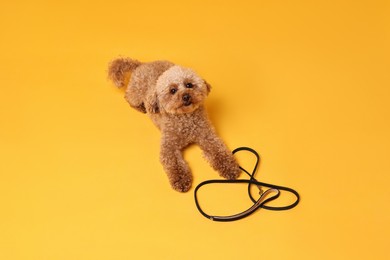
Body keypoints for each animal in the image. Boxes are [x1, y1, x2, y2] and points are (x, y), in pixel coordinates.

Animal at [107, 58, 241, 191]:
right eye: (172, 90)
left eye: (189, 84)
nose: (186, 96)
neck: (185, 119)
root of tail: (141, 64)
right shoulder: (168, 146)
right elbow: (174, 163)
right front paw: (181, 180)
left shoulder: (207, 136)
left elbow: (218, 150)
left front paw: (229, 167)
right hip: (136, 93)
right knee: (128, 97)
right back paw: (141, 107)